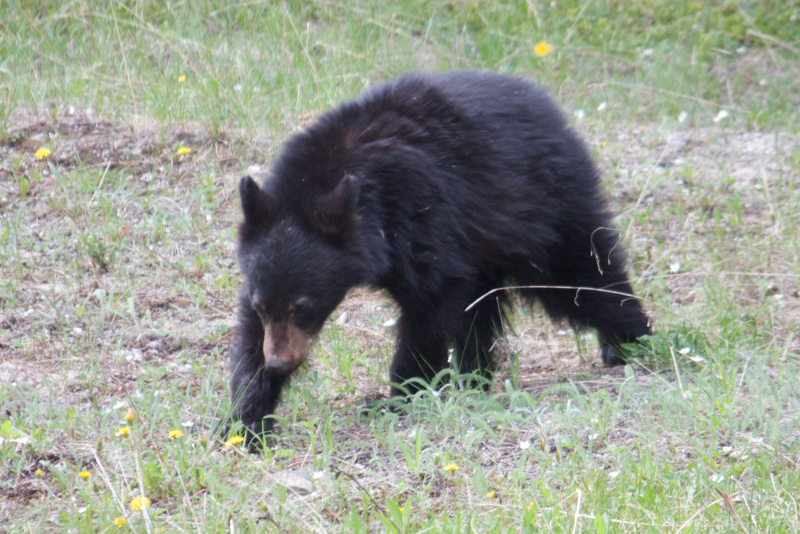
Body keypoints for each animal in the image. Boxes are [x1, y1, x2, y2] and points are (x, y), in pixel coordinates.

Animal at [229, 71, 650, 437]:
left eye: (304, 306)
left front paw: (397, 397)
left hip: (546, 208)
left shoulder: (419, 214)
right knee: (480, 311)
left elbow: (428, 306)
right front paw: (245, 419)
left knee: (580, 277)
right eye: (263, 306)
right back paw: (475, 377)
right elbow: (249, 335)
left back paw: (630, 343)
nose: (279, 362)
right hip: (485, 248)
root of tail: (550, 108)